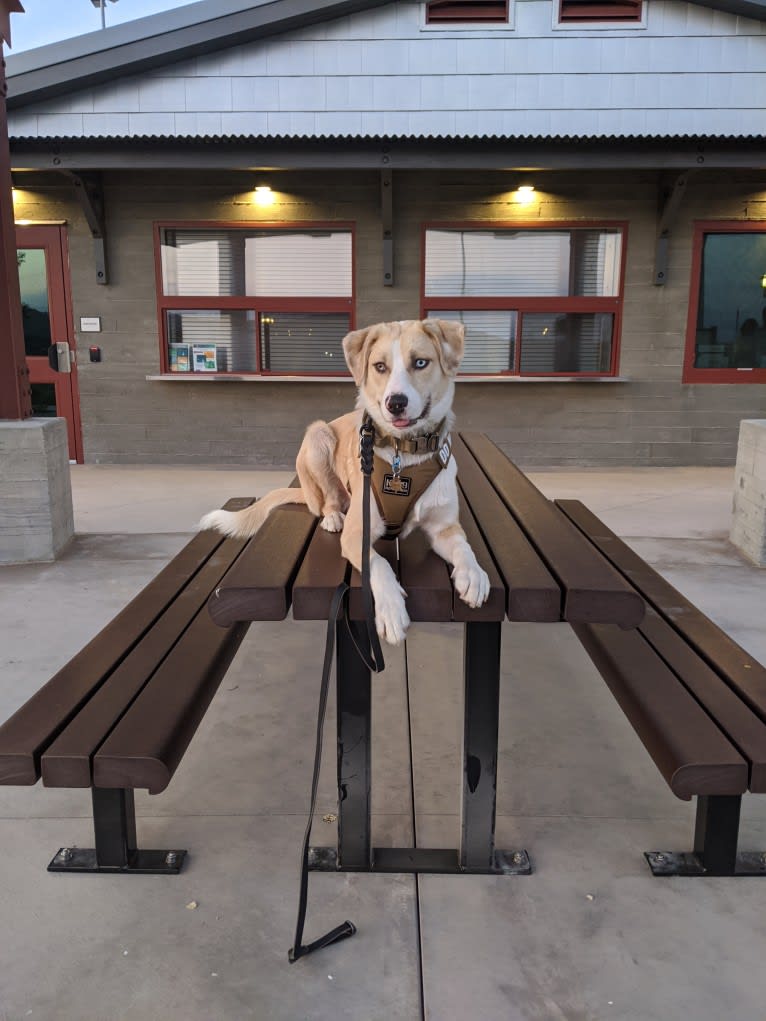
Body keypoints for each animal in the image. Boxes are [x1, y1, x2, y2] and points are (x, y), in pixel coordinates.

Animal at [201, 316, 492, 645]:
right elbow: (378, 564)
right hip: (318, 437)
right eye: (380, 366)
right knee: (328, 500)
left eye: (420, 362)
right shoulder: (357, 534)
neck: (403, 454)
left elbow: (463, 546)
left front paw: (474, 574)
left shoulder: (444, 528)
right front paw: (391, 609)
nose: (395, 403)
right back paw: (331, 516)